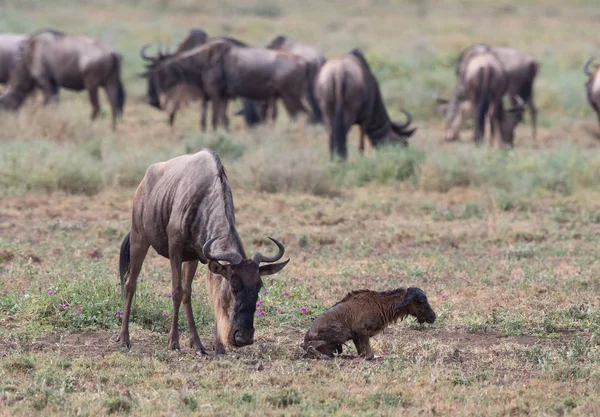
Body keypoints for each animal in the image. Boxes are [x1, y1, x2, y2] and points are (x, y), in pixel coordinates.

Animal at [302, 286, 434, 358]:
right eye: (421, 301)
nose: (433, 316)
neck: (381, 304)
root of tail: (307, 334)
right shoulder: (362, 332)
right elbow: (370, 355)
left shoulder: (357, 337)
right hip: (341, 335)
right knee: (305, 345)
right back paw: (323, 356)